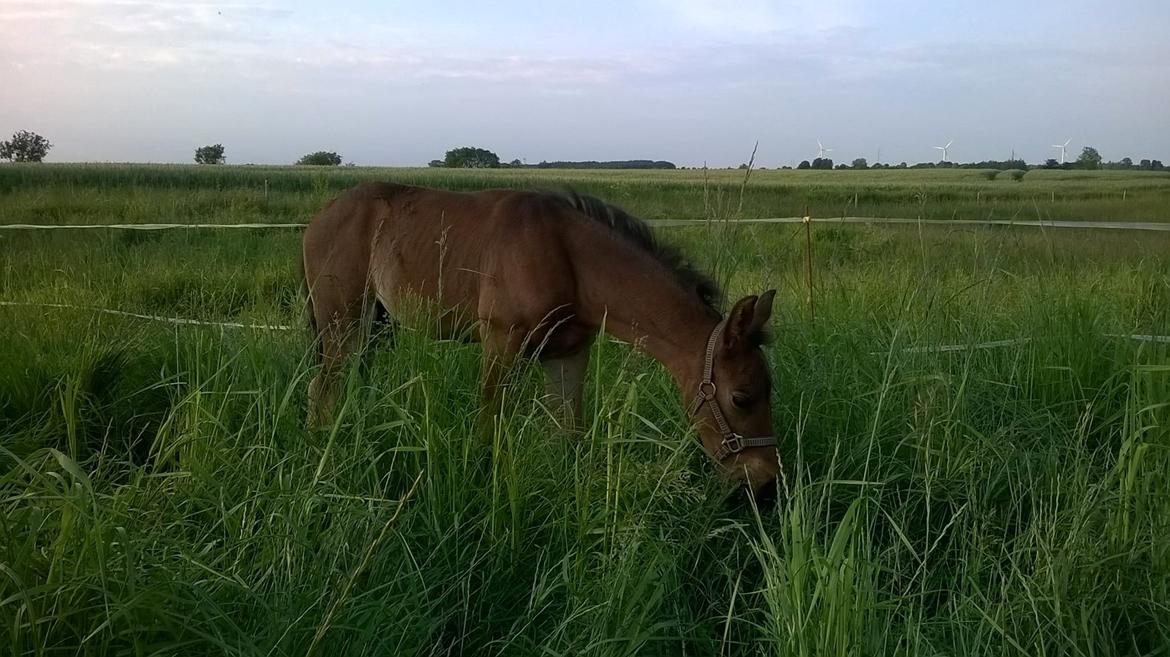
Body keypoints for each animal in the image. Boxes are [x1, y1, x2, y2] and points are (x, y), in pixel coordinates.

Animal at [301, 181, 781, 488]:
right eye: (741, 397)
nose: (765, 482)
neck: (569, 260)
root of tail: (319, 218)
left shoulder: (568, 353)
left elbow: (568, 435)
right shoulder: (501, 343)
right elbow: (489, 428)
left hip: (373, 328)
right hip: (342, 322)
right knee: (322, 390)